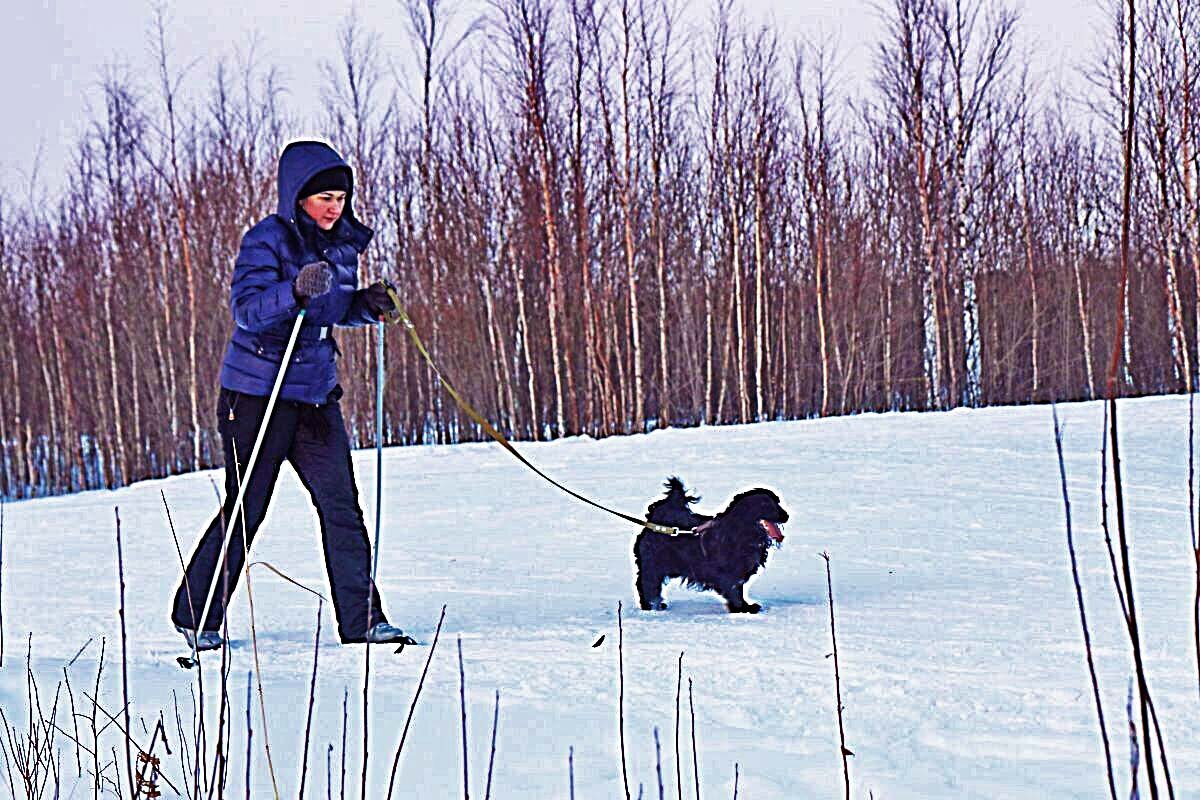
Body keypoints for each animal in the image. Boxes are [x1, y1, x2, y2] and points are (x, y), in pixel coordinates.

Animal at [633, 479, 792, 618]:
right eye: (765, 504)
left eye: (778, 502)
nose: (787, 515)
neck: (742, 532)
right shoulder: (729, 574)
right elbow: (735, 592)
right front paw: (741, 609)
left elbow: (739, 590)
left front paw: (745, 607)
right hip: (653, 564)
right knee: (647, 583)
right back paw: (651, 606)